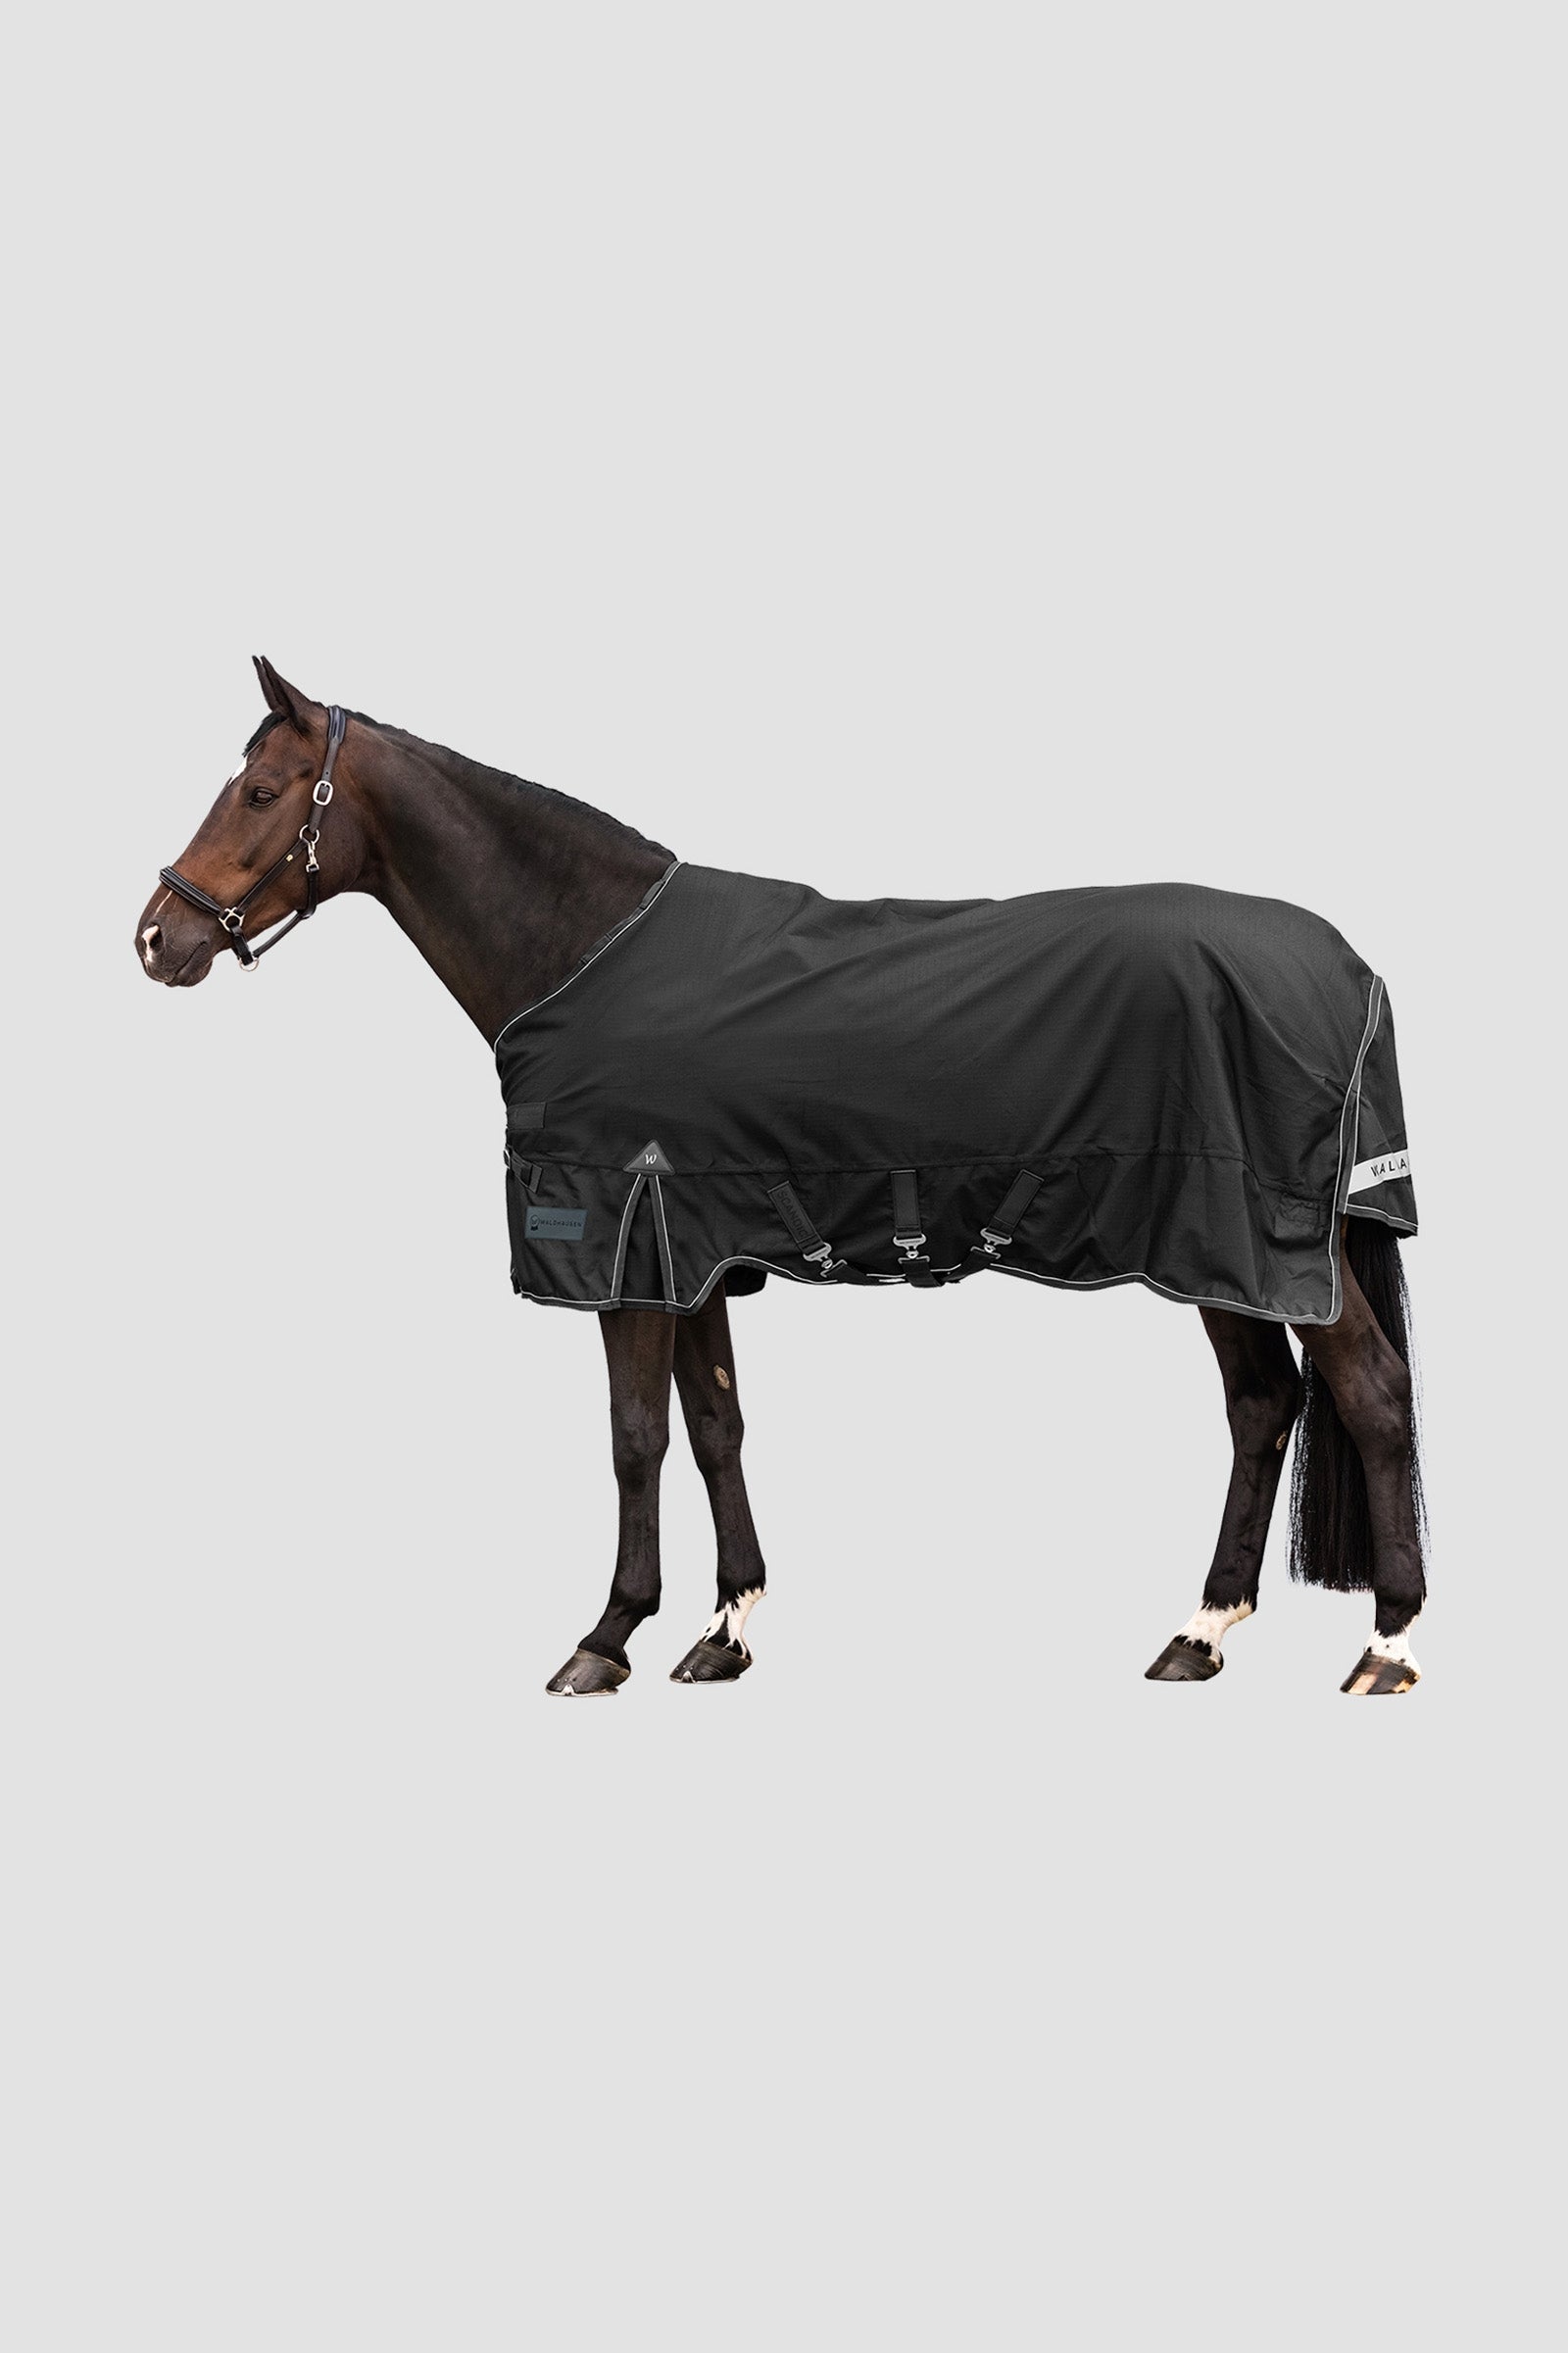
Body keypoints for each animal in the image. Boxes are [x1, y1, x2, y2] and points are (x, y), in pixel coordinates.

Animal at [136, 659, 1427, 1698]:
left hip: (1255, 1239)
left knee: (1367, 1391)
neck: (585, 949)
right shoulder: (697, 1247)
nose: (156, 937)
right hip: (1221, 1254)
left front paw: (605, 1637)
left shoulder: (625, 1250)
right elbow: (716, 1426)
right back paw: (1199, 1633)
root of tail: (1347, 968)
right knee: (1261, 1407)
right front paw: (724, 1630)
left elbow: (634, 1439)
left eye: (261, 792)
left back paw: (1388, 1645)